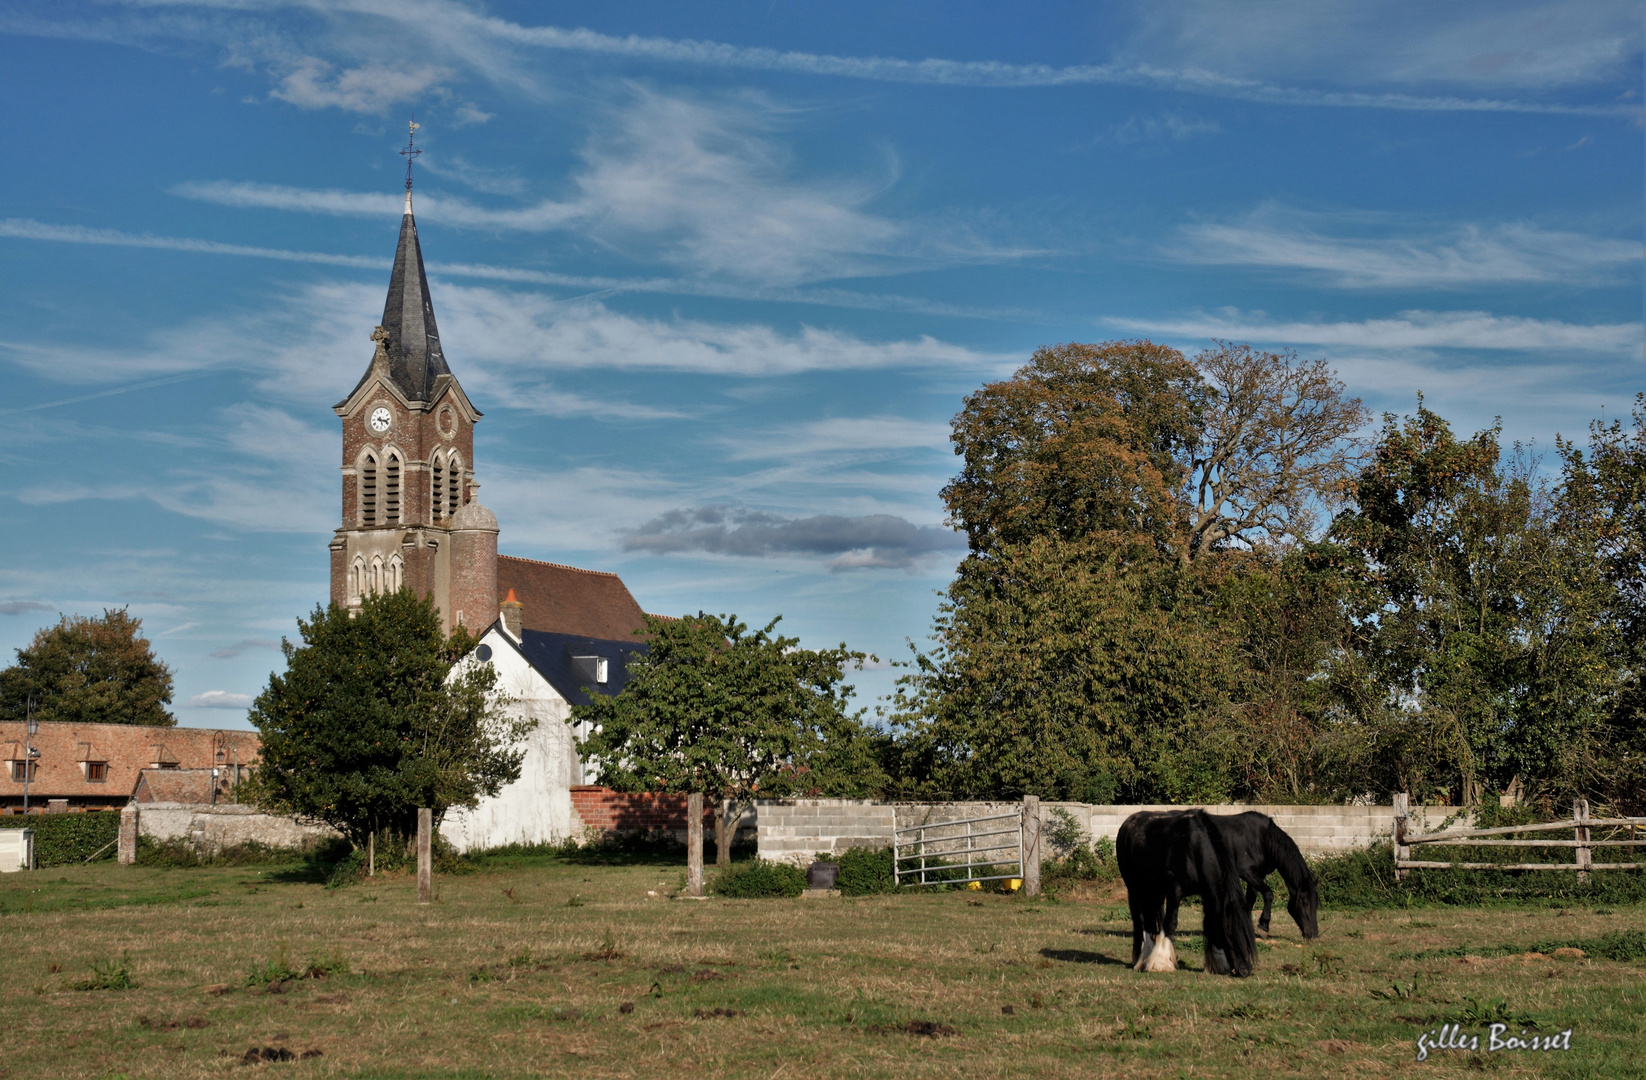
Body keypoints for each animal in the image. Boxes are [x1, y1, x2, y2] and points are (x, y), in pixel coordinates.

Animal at [1119, 810, 1257, 981]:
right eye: (1231, 932)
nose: (1246, 970)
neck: (1194, 847)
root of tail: (1128, 822)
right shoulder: (1174, 889)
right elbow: (1171, 922)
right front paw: (1160, 963)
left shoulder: (1207, 892)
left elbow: (1211, 921)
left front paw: (1219, 964)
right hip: (1135, 888)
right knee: (1143, 920)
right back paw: (1144, 960)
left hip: (1155, 890)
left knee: (1151, 919)